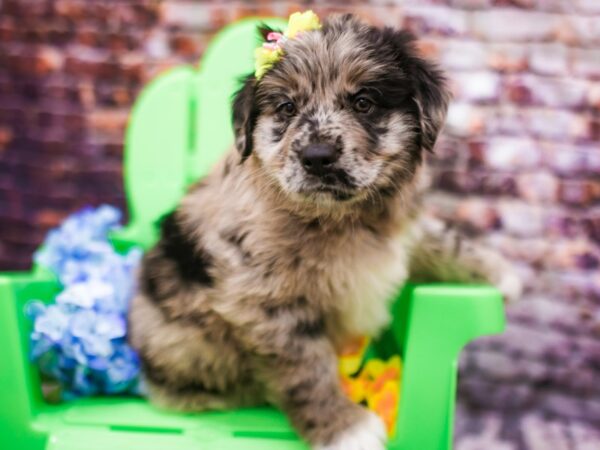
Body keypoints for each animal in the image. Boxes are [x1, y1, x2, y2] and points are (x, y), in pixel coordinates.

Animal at [130, 14, 520, 450]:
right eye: (287, 107)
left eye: (364, 102)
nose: (317, 157)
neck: (341, 217)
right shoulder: (266, 302)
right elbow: (305, 366)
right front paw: (344, 427)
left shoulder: (403, 226)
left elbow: (441, 239)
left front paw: (497, 273)